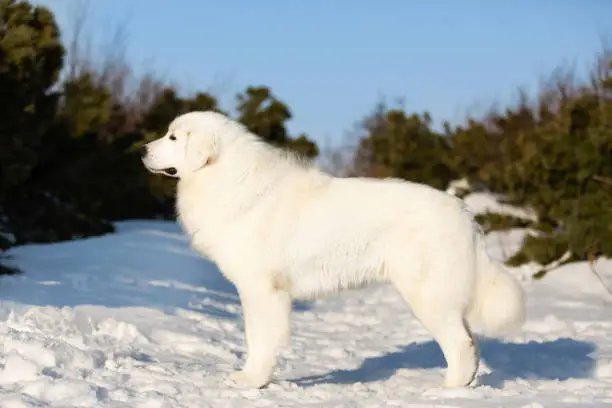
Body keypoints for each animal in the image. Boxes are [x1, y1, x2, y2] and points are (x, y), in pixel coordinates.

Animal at [141, 111, 524, 388]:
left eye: (173, 137)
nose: (142, 149)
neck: (226, 178)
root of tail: (464, 213)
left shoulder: (261, 291)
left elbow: (259, 339)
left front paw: (252, 381)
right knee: (470, 343)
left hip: (427, 295)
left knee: (459, 343)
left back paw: (448, 390)